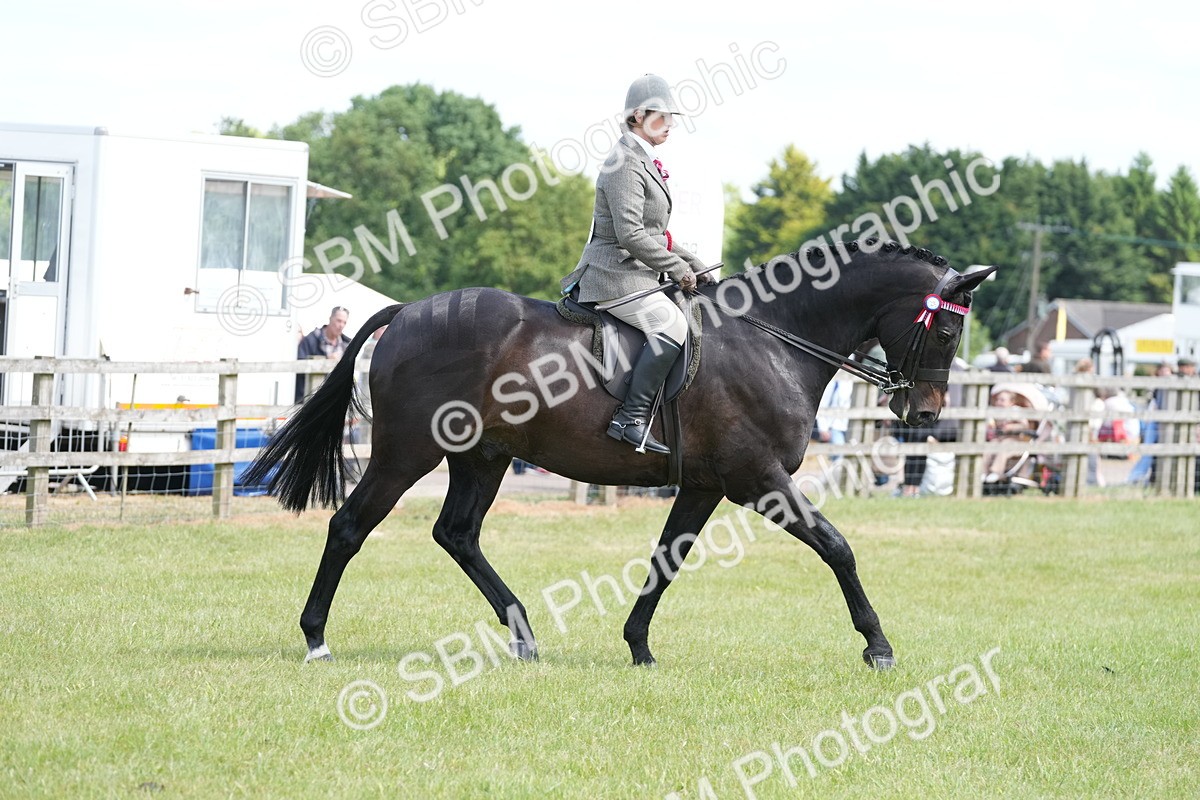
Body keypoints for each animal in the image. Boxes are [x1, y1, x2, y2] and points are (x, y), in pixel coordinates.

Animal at [245, 242, 995, 669]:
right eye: (947, 329)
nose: (925, 414)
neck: (775, 338)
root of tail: (405, 312)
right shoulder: (759, 479)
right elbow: (837, 546)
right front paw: (878, 646)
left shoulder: (705, 485)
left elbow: (667, 559)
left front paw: (637, 644)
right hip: (409, 453)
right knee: (349, 527)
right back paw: (316, 638)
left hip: (482, 457)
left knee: (457, 534)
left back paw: (524, 635)